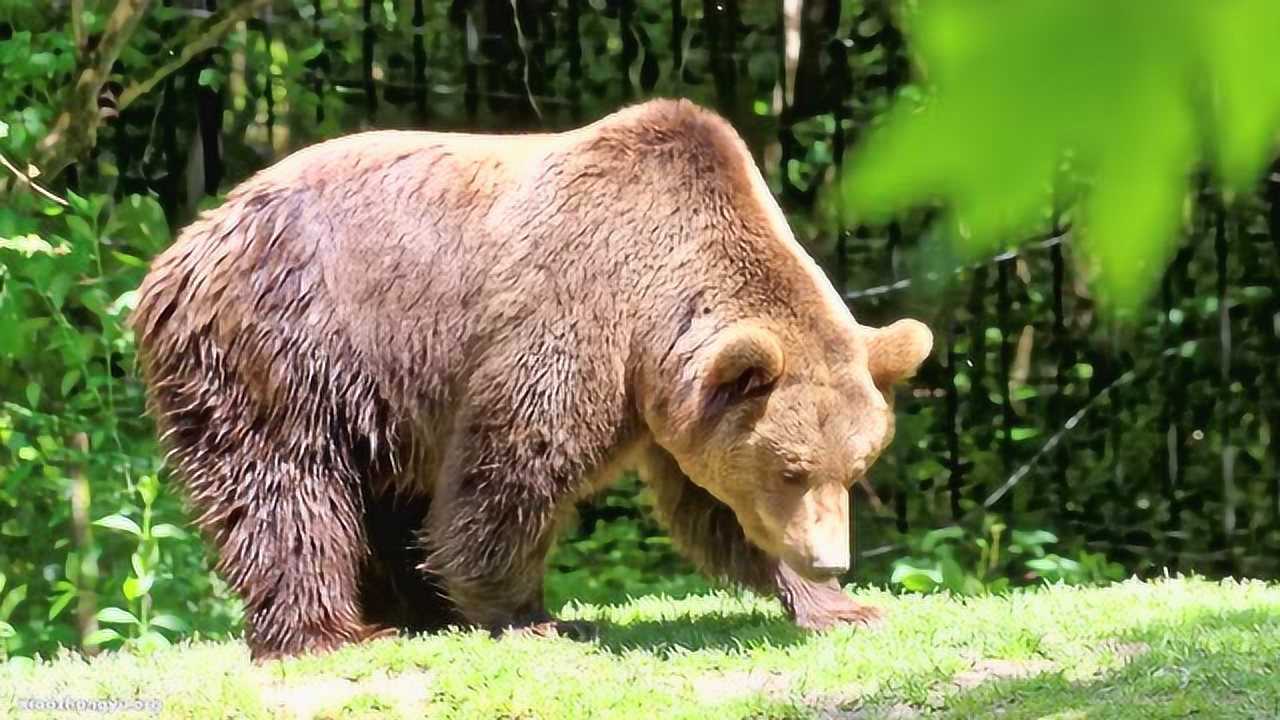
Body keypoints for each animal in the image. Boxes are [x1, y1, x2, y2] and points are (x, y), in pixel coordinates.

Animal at [129, 98, 931, 661]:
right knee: (285, 488)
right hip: (287, 349)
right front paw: (535, 617)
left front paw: (841, 605)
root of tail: (184, 248)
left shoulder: (682, 402)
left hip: (378, 396)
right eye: (792, 468)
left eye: (855, 468)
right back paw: (329, 633)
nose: (832, 556)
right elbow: (516, 463)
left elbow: (716, 506)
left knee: (384, 494)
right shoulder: (572, 313)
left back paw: (417, 614)